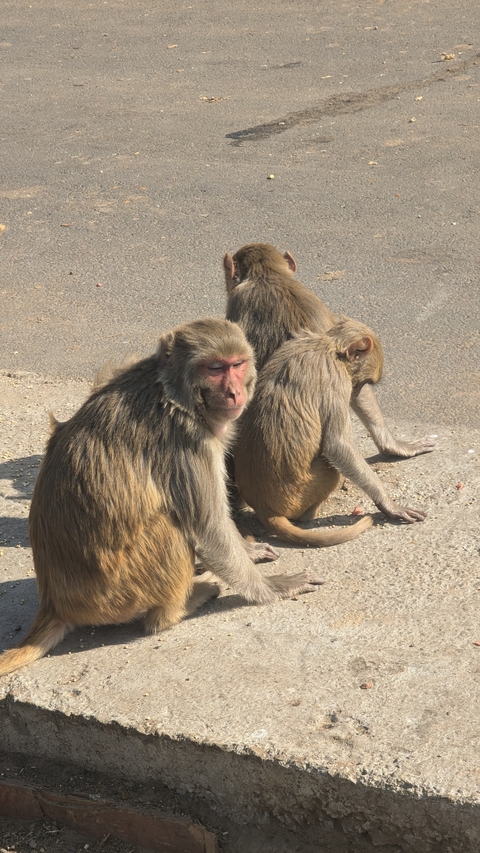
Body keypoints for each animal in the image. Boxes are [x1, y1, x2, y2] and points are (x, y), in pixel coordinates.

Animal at [0, 319, 323, 677]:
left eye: (237, 364)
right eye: (215, 368)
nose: (234, 392)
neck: (175, 395)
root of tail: (55, 604)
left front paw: (248, 550)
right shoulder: (186, 442)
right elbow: (208, 529)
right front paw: (272, 587)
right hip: (120, 593)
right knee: (171, 530)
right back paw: (178, 608)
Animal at [234, 319, 427, 547]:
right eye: (363, 382)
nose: (356, 392)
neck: (328, 347)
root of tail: (262, 506)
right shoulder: (336, 380)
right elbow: (338, 446)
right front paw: (388, 504)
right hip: (302, 492)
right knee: (331, 468)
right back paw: (308, 515)